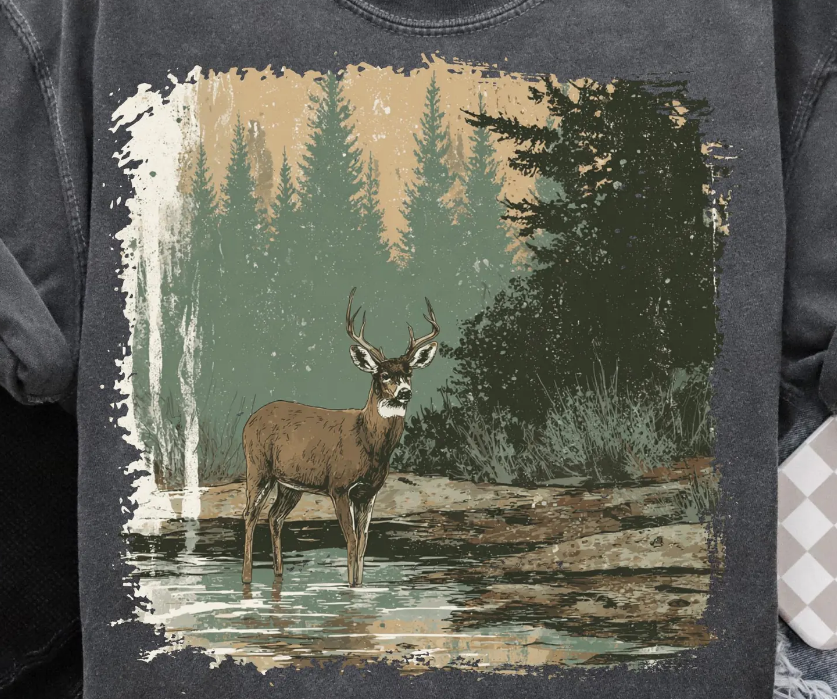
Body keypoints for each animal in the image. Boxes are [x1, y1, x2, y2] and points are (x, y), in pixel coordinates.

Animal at [241, 289, 440, 587]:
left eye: (409, 373)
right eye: (384, 374)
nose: (405, 392)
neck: (368, 442)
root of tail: (249, 421)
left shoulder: (368, 492)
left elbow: (364, 543)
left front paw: (359, 584)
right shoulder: (339, 485)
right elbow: (351, 540)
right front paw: (350, 586)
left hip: (290, 484)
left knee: (274, 517)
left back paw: (278, 574)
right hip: (257, 467)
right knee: (249, 514)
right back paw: (246, 579)